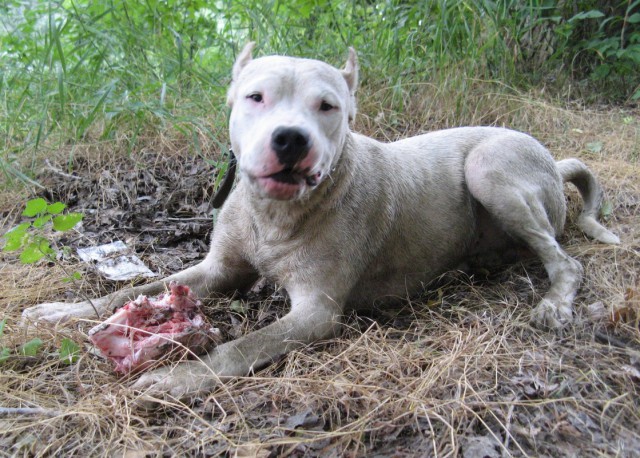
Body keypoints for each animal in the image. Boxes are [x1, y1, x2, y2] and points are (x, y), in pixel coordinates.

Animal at [22, 44, 616, 398]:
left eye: (328, 106)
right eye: (255, 97)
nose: (291, 138)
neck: (275, 214)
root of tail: (552, 159)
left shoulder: (315, 311)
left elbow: (240, 348)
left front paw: (176, 377)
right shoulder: (216, 271)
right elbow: (138, 287)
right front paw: (58, 312)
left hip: (490, 167)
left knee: (565, 261)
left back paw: (554, 304)